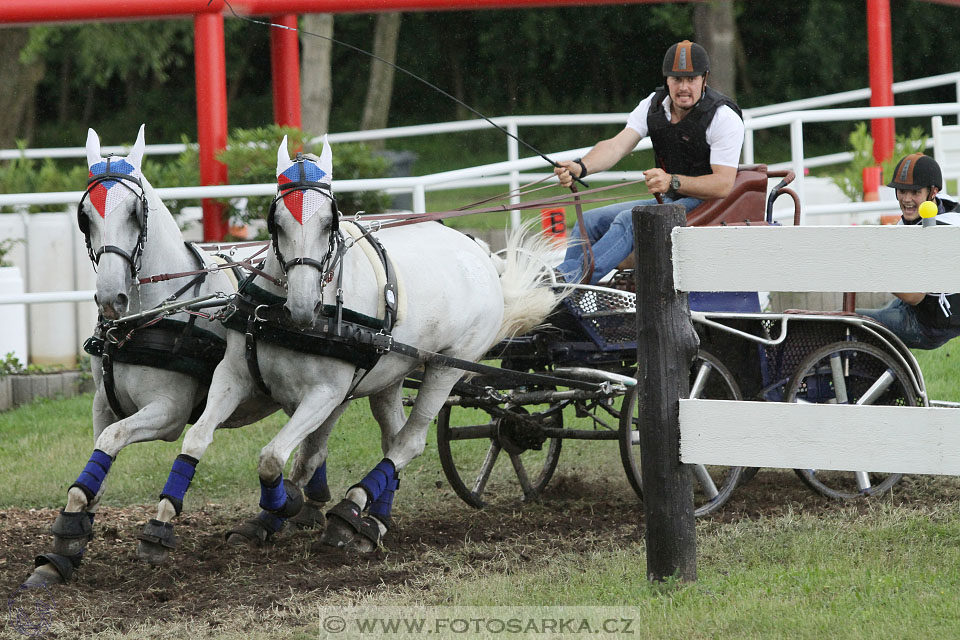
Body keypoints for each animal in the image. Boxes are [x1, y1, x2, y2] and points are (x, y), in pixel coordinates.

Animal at [25, 125, 282, 584]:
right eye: (85, 215)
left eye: (134, 213)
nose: (111, 297)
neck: (144, 318)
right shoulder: (102, 404)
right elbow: (99, 461)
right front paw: (65, 546)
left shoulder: (168, 412)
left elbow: (113, 439)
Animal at [139, 136, 568, 560]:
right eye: (276, 222)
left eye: (329, 222)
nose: (302, 306)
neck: (293, 322)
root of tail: (481, 254)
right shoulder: (234, 375)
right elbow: (202, 439)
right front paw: (162, 524)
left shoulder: (326, 394)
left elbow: (273, 457)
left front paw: (286, 504)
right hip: (390, 374)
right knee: (392, 438)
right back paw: (372, 521)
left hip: (447, 367)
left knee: (410, 441)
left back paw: (350, 511)